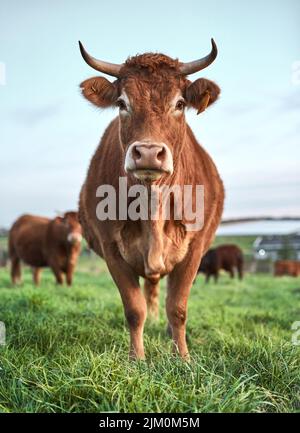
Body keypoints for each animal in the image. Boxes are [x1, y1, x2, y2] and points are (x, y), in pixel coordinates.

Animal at [78, 39, 224, 358]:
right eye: (122, 103)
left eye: (179, 104)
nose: (147, 153)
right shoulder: (111, 248)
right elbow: (135, 309)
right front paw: (137, 359)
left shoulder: (194, 249)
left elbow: (178, 308)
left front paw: (183, 358)